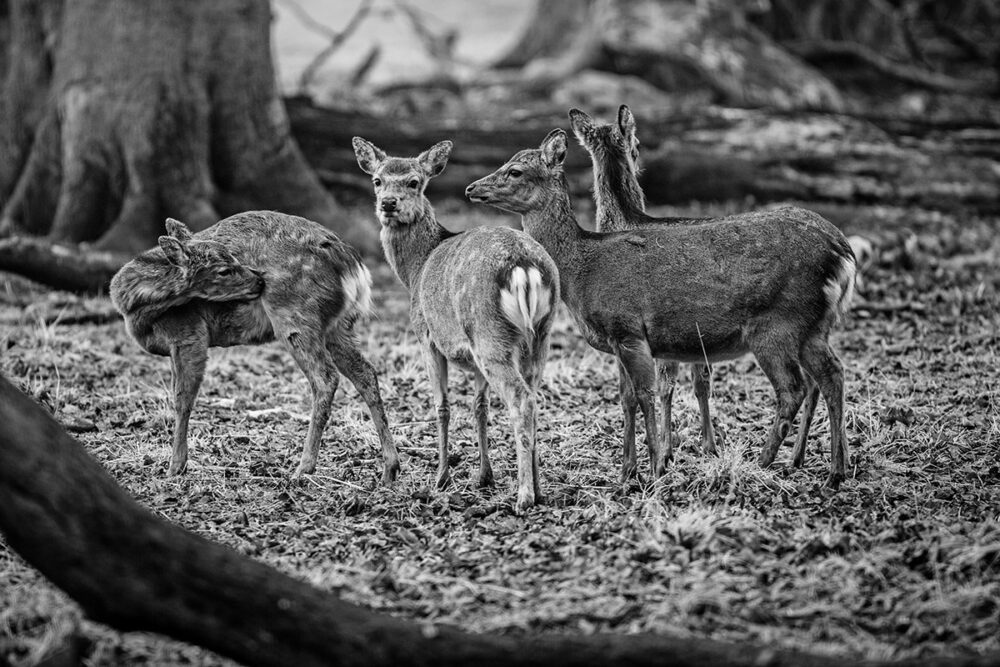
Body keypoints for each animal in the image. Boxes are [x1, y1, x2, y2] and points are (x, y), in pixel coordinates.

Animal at [109, 211, 400, 484]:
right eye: (223, 269)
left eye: (233, 259)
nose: (259, 280)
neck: (135, 309)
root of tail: (353, 266)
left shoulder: (189, 332)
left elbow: (182, 399)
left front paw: (175, 467)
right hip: (337, 326)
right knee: (366, 373)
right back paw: (390, 468)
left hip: (295, 315)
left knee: (326, 378)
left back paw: (303, 469)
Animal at [352, 137, 559, 513]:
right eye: (377, 180)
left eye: (414, 182)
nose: (388, 204)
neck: (414, 270)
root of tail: (525, 267)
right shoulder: (474, 358)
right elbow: (479, 407)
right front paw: (484, 476)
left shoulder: (425, 335)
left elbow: (442, 407)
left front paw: (441, 478)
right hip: (539, 336)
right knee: (535, 397)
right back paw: (539, 488)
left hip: (490, 333)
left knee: (521, 400)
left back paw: (523, 497)